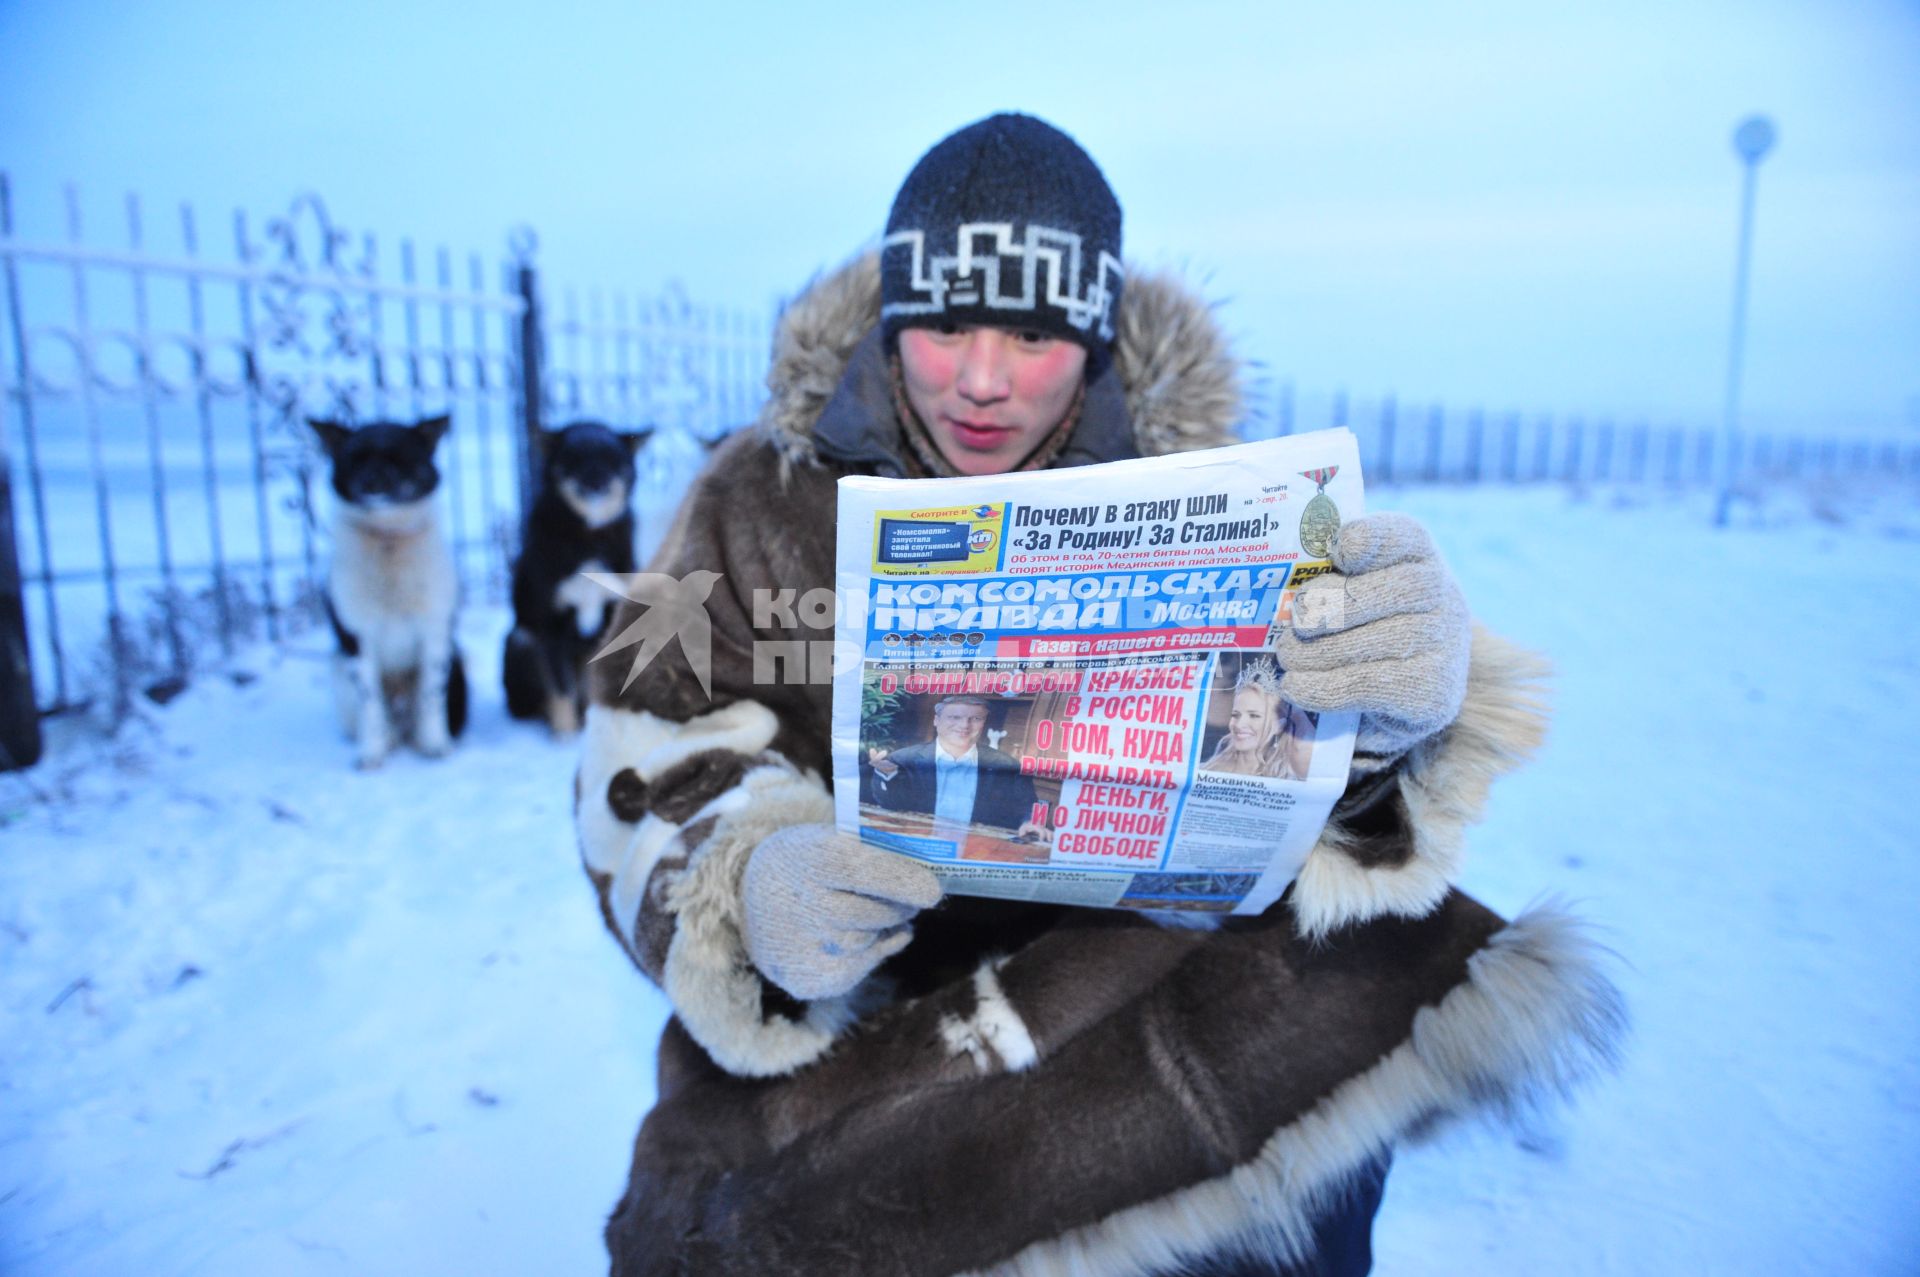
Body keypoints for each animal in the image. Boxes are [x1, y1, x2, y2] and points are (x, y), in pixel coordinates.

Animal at [312, 412, 470, 768]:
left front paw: (435, 744)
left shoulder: (435, 633)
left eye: (400, 456)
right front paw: (371, 752)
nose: (372, 482)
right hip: (337, 668)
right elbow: (370, 704)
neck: (388, 544)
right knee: (379, 719)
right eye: (355, 458)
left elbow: (430, 697)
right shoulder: (357, 640)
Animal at [503, 418, 652, 733]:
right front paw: (566, 735)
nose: (596, 482)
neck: (588, 536)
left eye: (612, 458)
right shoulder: (551, 627)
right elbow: (561, 692)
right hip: (521, 639)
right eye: (573, 458)